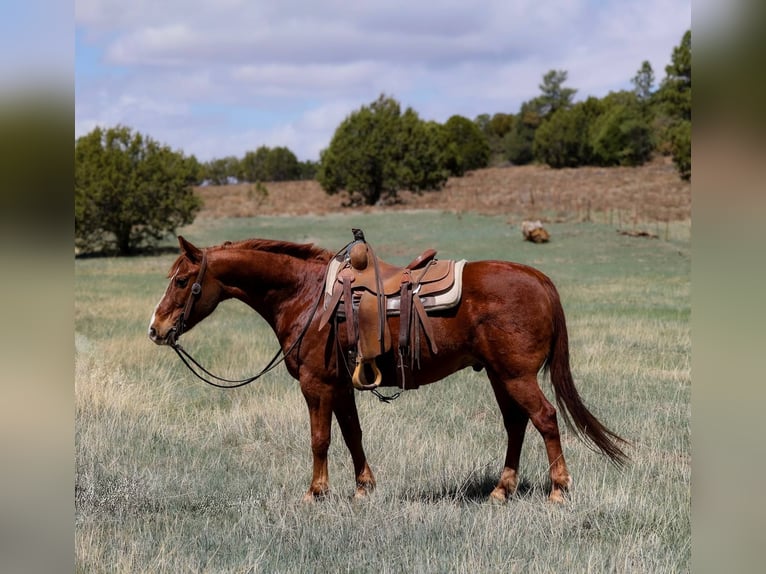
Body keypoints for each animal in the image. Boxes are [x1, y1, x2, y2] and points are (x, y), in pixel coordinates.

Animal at [148, 234, 628, 503]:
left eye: (180, 280)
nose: (156, 328)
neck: (306, 295)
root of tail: (540, 279)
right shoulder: (340, 386)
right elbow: (352, 435)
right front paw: (364, 488)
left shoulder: (316, 385)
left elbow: (320, 439)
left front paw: (315, 493)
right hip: (499, 375)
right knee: (516, 424)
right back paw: (501, 491)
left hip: (516, 375)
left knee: (544, 418)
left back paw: (559, 490)